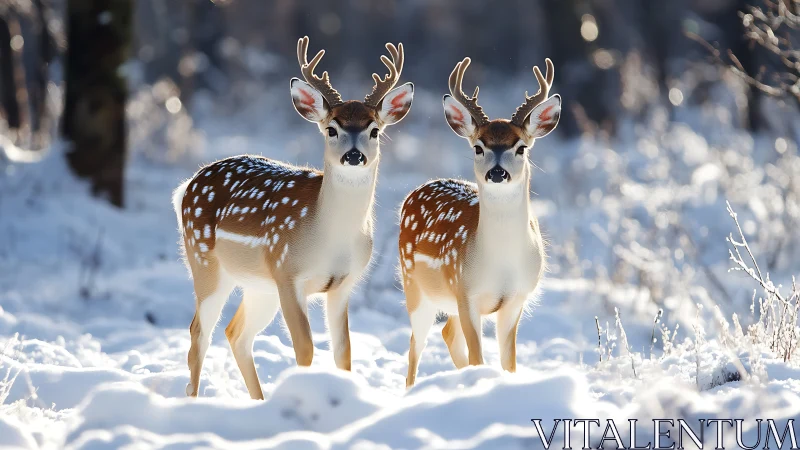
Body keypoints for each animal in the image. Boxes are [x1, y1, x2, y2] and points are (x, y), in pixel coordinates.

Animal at [172, 36, 413, 400]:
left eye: (374, 130)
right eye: (331, 129)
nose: (353, 155)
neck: (327, 235)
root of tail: (187, 186)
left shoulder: (344, 283)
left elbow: (343, 351)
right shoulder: (288, 273)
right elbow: (305, 349)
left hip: (258, 285)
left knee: (235, 332)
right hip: (205, 262)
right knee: (198, 331)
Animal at [399, 57, 560, 387]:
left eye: (521, 147)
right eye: (478, 147)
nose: (497, 172)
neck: (501, 261)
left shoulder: (515, 299)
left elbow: (509, 363)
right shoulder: (466, 293)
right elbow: (478, 356)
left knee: (447, 334)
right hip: (415, 287)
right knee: (415, 345)